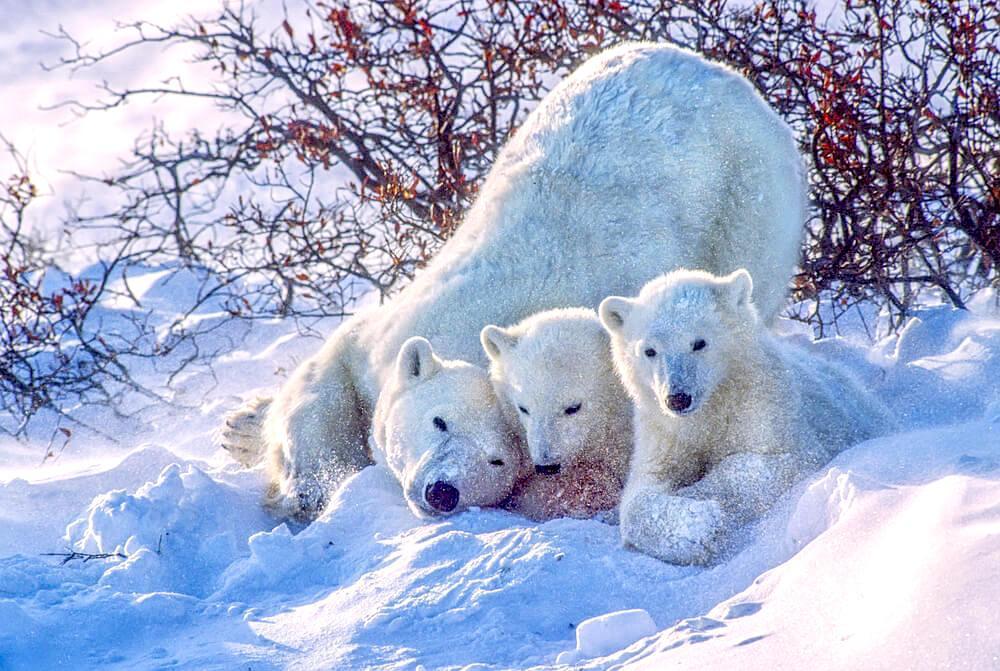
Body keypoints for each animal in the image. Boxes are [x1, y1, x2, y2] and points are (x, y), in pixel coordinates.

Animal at [596, 270, 896, 568]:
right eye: (649, 350)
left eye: (699, 342)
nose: (678, 398)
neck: (713, 404)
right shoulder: (664, 431)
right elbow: (644, 487)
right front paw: (693, 528)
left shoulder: (764, 408)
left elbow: (766, 462)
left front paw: (703, 516)